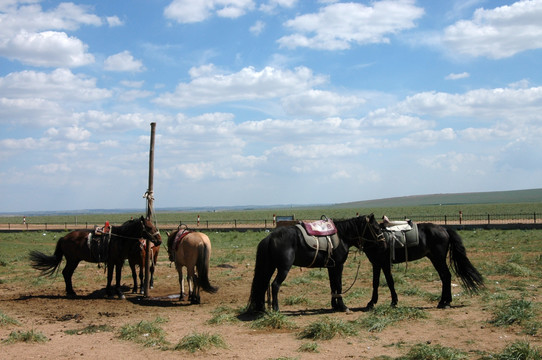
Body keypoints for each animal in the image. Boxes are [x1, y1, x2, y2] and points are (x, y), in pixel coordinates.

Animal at [29, 217, 162, 298]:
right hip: (72, 260)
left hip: (74, 260)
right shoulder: (115, 261)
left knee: (67, 273)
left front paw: (112, 292)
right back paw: (71, 292)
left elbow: (114, 277)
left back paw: (71, 292)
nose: (159, 240)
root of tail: (63, 238)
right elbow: (114, 277)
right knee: (66, 273)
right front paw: (116, 293)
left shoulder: (116, 262)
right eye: (149, 227)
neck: (119, 238)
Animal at [249, 215, 384, 314]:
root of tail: (270, 237)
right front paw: (343, 306)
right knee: (275, 285)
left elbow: (333, 285)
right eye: (376, 228)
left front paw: (335, 305)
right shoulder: (339, 265)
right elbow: (339, 285)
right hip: (283, 269)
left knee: (263, 284)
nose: (383, 242)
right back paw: (276, 309)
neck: (342, 236)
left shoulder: (331, 267)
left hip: (269, 267)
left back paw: (262, 308)